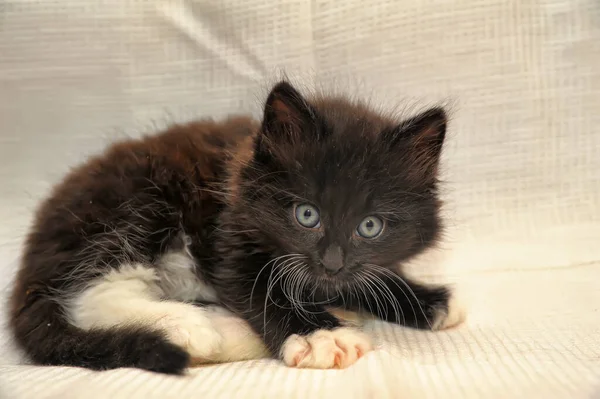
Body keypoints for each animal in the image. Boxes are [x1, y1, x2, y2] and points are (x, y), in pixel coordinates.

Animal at [9, 81, 464, 376]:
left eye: (369, 226)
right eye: (306, 215)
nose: (331, 263)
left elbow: (367, 276)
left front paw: (428, 299)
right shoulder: (226, 234)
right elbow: (259, 288)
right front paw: (322, 336)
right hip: (137, 203)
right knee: (90, 296)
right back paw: (202, 327)